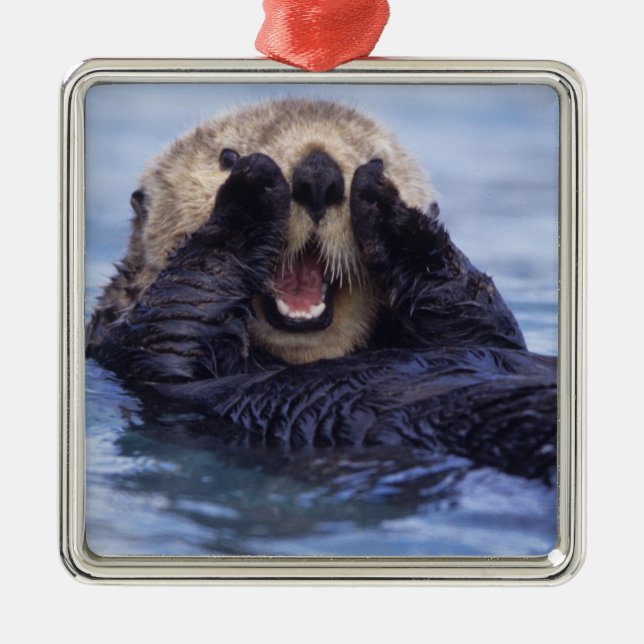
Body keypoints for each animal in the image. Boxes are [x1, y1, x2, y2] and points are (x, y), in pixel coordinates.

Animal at [87, 99, 557, 480]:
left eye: (378, 158)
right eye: (226, 156)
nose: (317, 174)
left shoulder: (480, 330)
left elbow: (479, 317)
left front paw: (389, 208)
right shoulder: (140, 352)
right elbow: (178, 316)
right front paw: (252, 188)